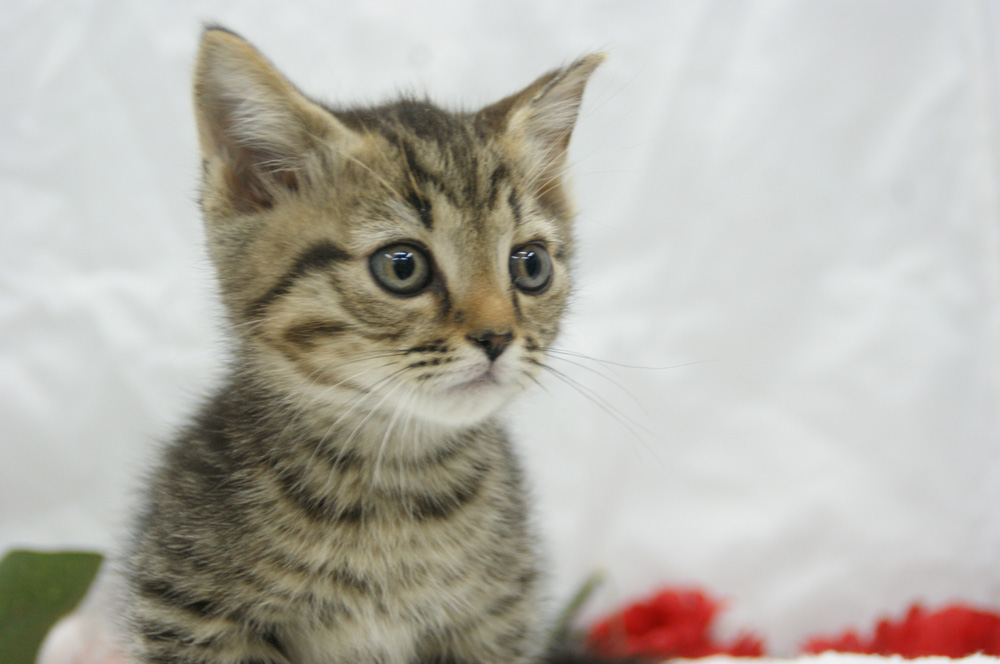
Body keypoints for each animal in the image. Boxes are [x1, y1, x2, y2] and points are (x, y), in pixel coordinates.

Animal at [121, 26, 600, 664]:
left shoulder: (499, 616)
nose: (498, 336)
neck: (393, 481)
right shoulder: (186, 607)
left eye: (531, 265)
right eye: (402, 266)